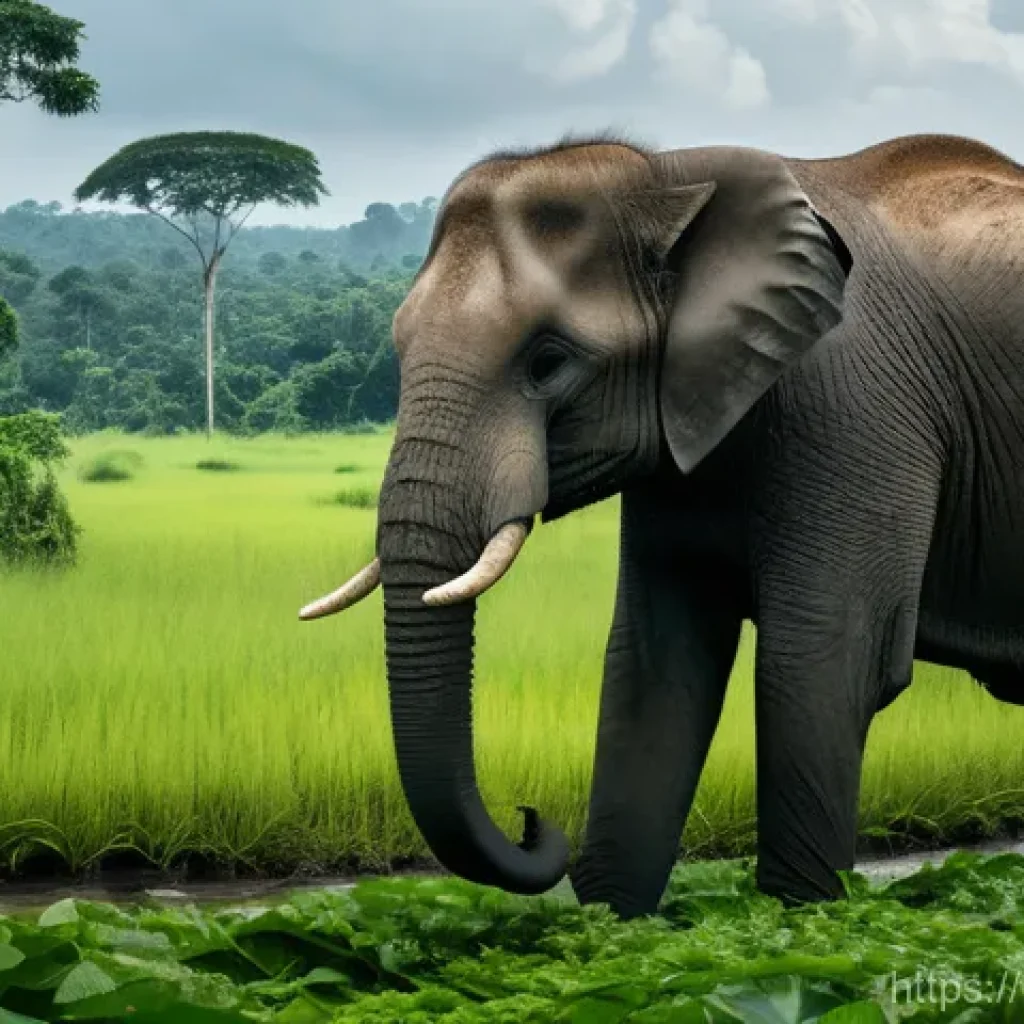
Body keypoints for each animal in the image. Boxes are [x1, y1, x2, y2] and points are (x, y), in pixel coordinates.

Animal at [300, 131, 1024, 920]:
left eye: (548, 362)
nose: (532, 819)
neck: (668, 178)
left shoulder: (854, 406)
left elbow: (819, 664)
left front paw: (800, 922)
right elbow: (653, 670)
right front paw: (613, 930)